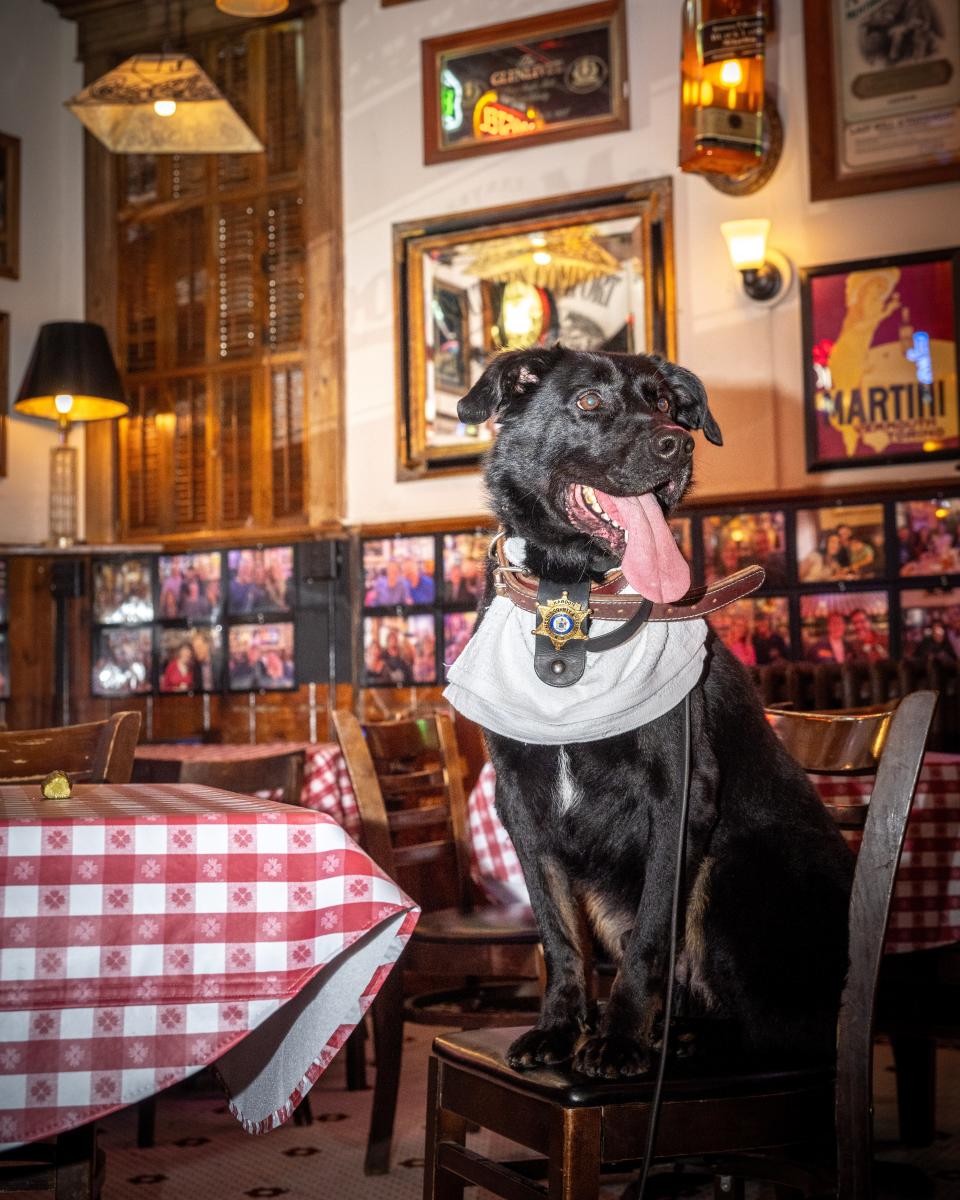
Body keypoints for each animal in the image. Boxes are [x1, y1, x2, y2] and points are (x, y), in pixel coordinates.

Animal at [451, 345, 854, 1080]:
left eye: (666, 403)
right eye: (588, 403)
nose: (678, 444)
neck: (575, 600)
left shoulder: (680, 793)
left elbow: (650, 937)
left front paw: (617, 1041)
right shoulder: (520, 798)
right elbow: (557, 932)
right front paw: (559, 1027)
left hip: (730, 871)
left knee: (787, 1032)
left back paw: (692, 1039)